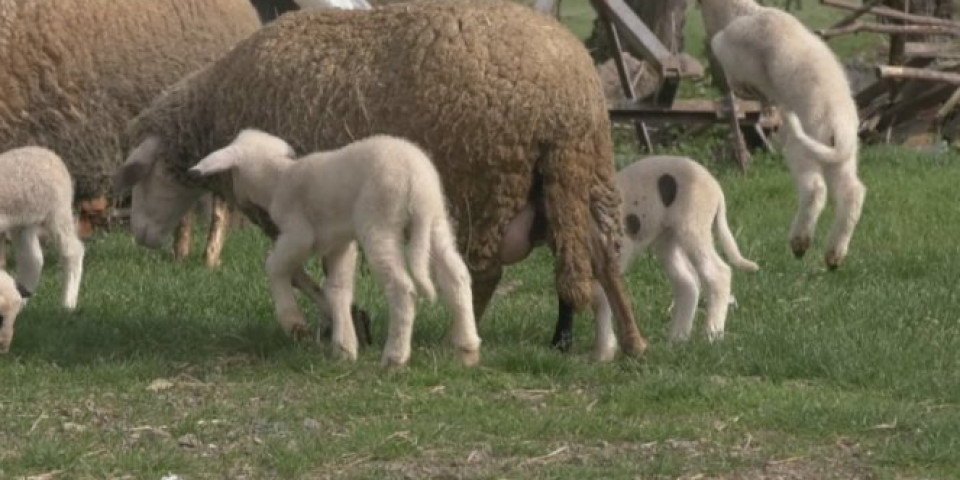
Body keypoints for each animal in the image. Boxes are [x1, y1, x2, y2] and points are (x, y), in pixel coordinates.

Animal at [0, 148, 85, 316]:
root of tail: (51, 154)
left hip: (58, 211)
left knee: (73, 251)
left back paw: (68, 304)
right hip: (24, 222)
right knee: (33, 260)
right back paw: (21, 302)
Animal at [191, 128, 484, 368]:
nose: (239, 201)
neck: (277, 178)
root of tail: (416, 182)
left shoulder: (299, 235)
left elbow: (274, 266)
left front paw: (294, 323)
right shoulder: (340, 243)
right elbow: (337, 289)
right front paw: (344, 348)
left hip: (379, 223)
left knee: (403, 288)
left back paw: (395, 357)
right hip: (435, 222)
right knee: (456, 276)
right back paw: (467, 348)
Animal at [556, 156, 756, 362]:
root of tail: (715, 186)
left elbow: (602, 300)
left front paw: (602, 353)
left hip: (693, 230)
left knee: (718, 274)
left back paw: (712, 334)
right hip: (668, 241)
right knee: (687, 284)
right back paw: (677, 339)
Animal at [692, 0, 868, 270]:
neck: (741, 11)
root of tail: (839, 124)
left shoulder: (732, 56)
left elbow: (737, 80)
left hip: (802, 149)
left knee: (815, 190)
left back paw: (800, 242)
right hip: (840, 158)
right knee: (852, 194)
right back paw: (834, 255)